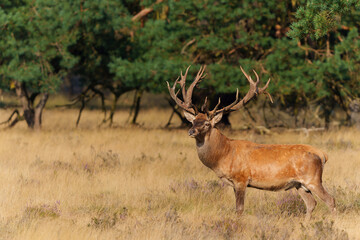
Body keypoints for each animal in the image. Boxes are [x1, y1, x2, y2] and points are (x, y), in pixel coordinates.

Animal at [167, 65, 336, 219]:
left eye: (207, 124)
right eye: (193, 121)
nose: (191, 131)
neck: (224, 155)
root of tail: (323, 155)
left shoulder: (241, 179)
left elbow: (239, 209)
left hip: (312, 179)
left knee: (330, 200)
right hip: (299, 184)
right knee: (311, 203)